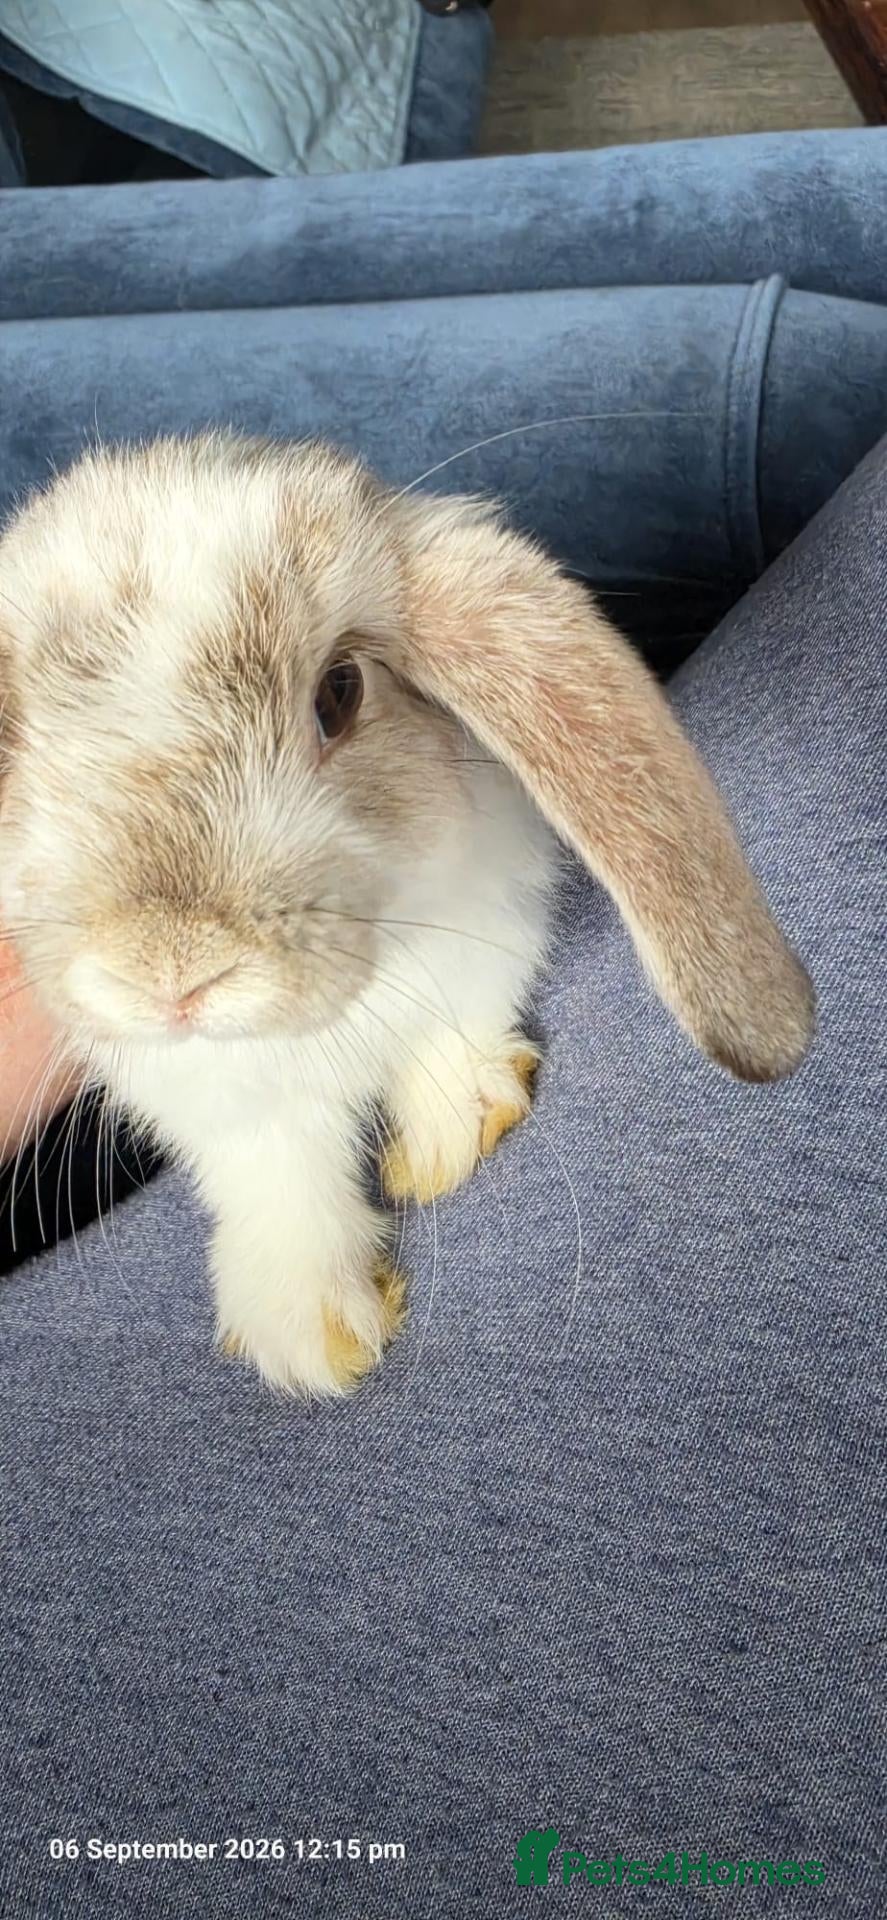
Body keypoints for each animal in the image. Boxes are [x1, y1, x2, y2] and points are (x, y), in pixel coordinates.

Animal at [0, 432, 815, 1395]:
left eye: (339, 692)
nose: (171, 972)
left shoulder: (493, 921)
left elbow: (457, 1024)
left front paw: (450, 1139)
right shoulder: (202, 1093)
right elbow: (271, 1167)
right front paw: (310, 1331)